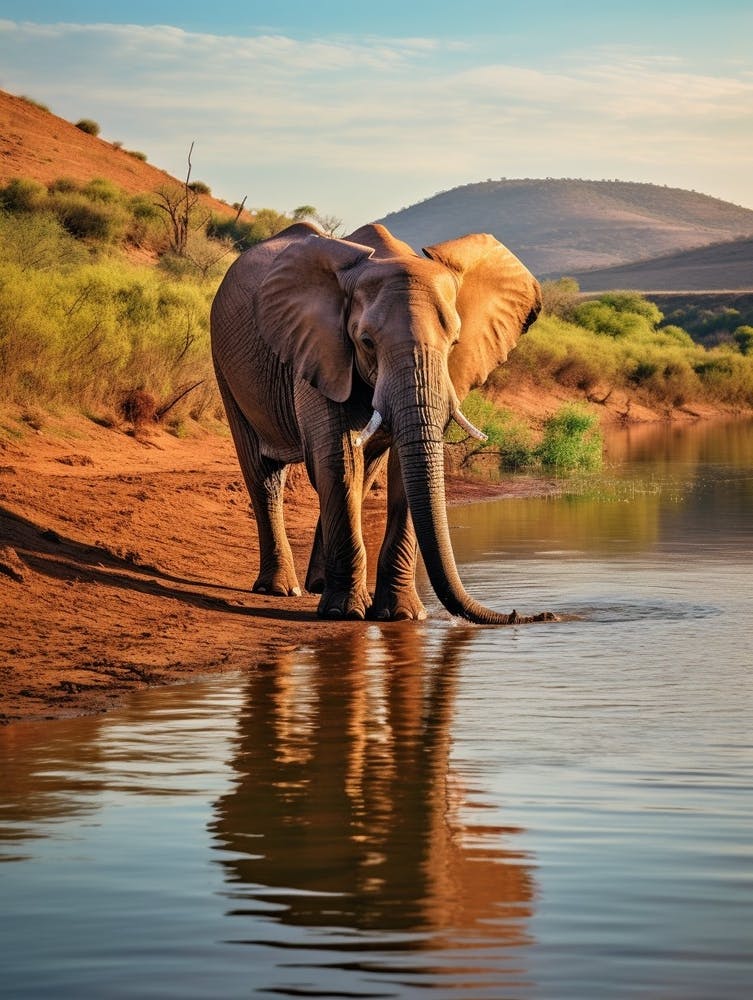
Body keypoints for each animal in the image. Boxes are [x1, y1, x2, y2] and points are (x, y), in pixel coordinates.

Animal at [210, 221, 553, 624]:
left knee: (361, 473)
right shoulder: (321, 349)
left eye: (454, 343)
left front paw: (402, 616)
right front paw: (345, 613)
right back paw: (281, 589)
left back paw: (317, 584)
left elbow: (405, 469)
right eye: (366, 342)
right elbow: (338, 459)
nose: (532, 615)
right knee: (265, 473)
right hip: (226, 365)